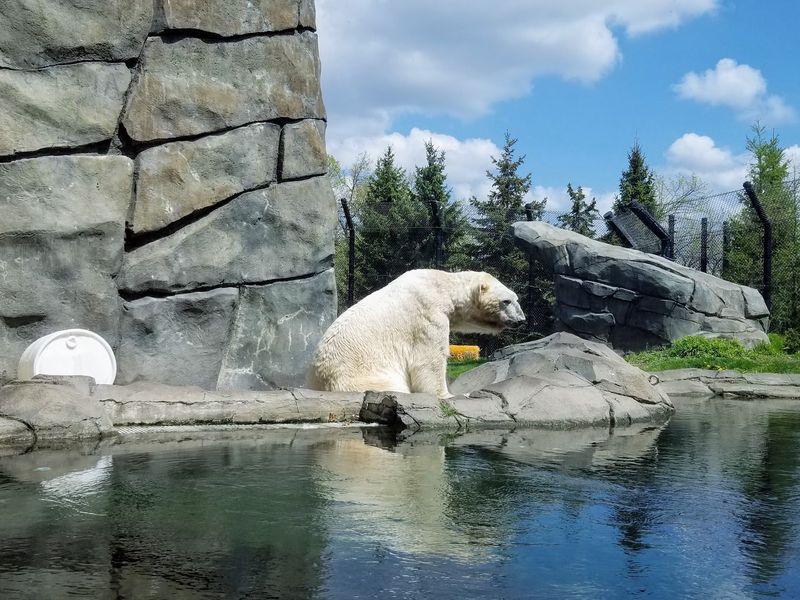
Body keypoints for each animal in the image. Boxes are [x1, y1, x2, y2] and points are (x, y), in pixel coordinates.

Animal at [307, 269, 526, 399]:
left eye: (516, 299)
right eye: (506, 301)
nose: (521, 320)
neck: (442, 286)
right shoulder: (428, 314)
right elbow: (430, 361)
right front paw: (449, 395)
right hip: (363, 378)